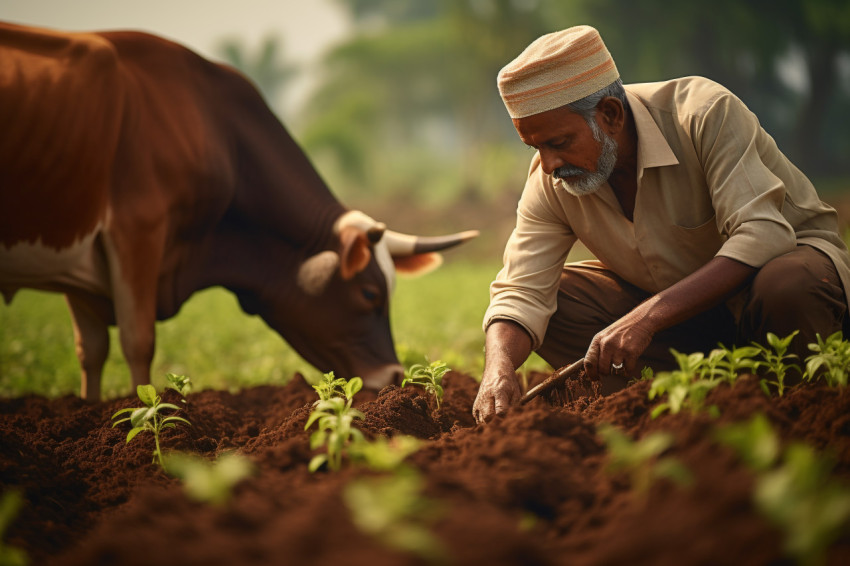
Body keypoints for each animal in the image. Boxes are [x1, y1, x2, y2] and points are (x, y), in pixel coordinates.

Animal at [0, 22, 476, 402]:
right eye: (370, 294)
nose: (394, 376)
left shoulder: (79, 264)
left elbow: (92, 349)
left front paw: (92, 413)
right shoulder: (136, 231)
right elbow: (138, 342)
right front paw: (138, 414)